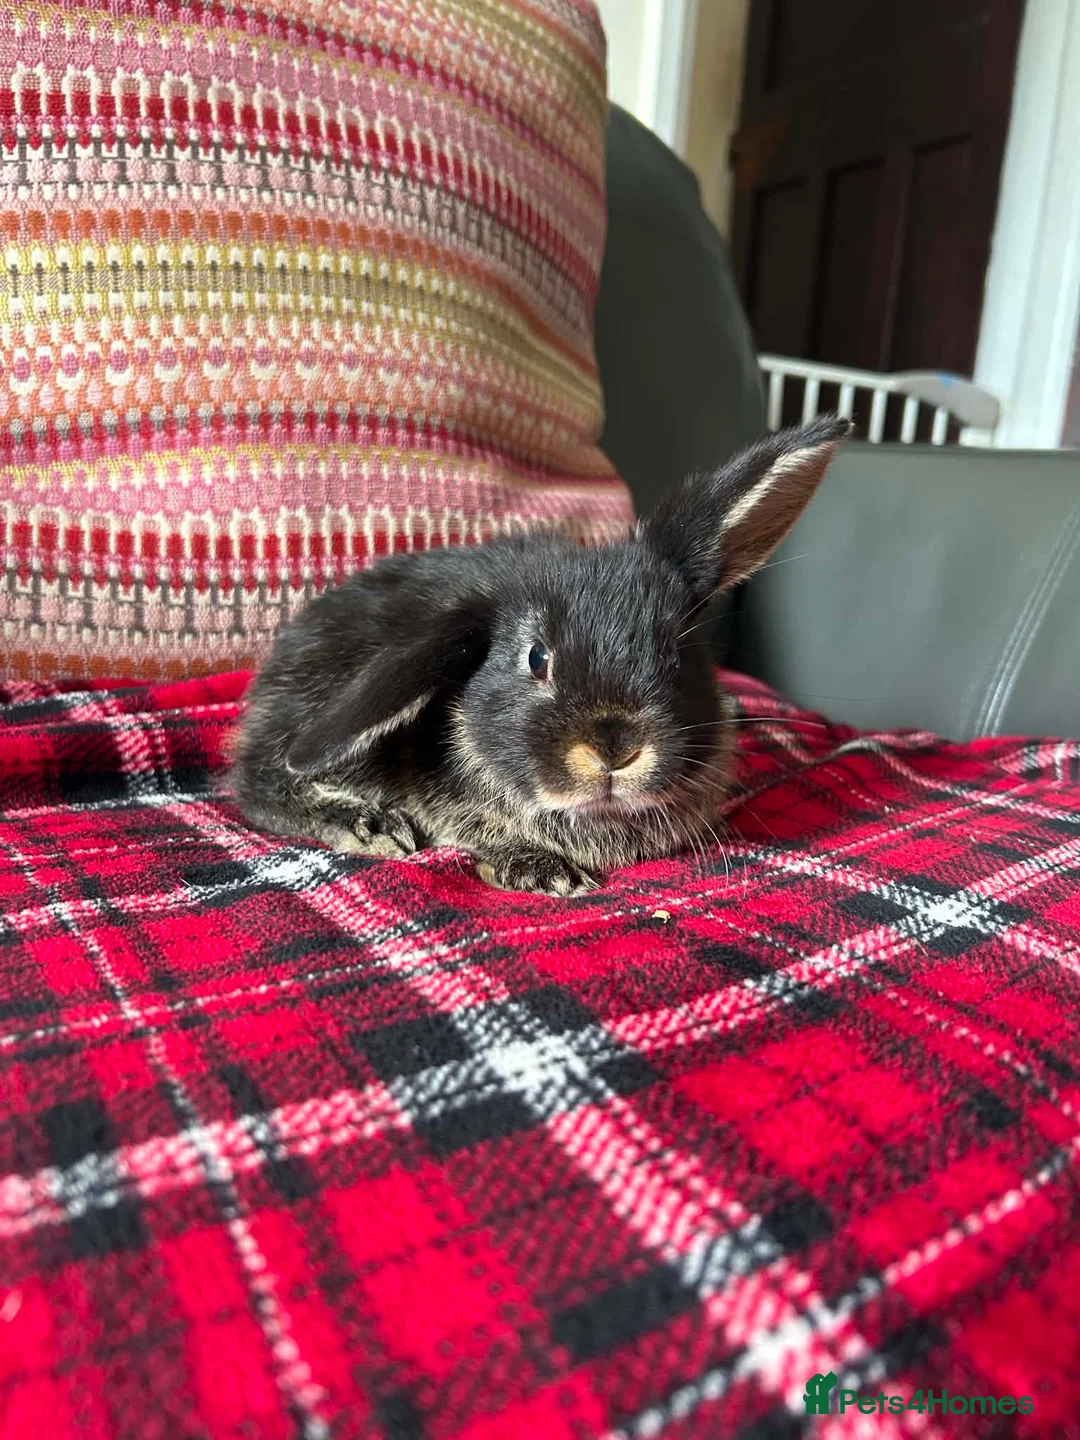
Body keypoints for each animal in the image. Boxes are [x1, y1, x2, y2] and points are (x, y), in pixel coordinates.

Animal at [231, 416, 851, 894]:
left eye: (678, 654)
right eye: (535, 657)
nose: (614, 746)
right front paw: (545, 872)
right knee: (255, 781)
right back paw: (367, 824)